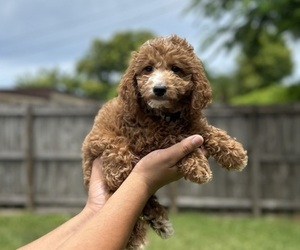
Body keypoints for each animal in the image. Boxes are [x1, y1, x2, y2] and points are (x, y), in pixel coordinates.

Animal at [81, 34, 246, 248]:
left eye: (176, 68)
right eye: (148, 68)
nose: (159, 89)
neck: (166, 115)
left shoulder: (193, 123)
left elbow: (208, 132)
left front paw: (234, 152)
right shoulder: (148, 138)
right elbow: (177, 138)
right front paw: (197, 165)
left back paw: (160, 222)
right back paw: (137, 236)